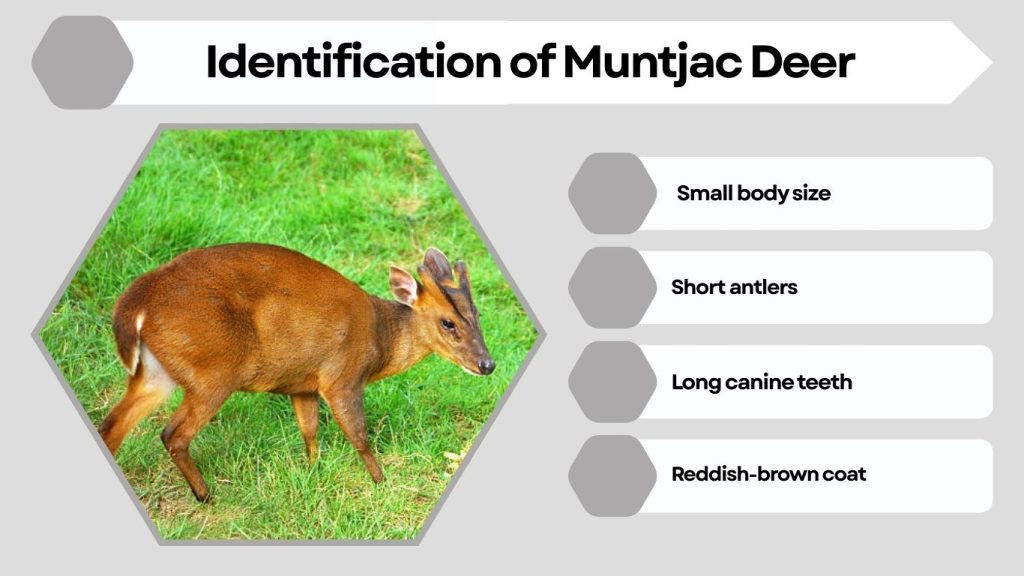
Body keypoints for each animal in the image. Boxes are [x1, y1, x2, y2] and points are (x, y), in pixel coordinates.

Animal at [97, 243, 494, 502]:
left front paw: (312, 471)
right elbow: (359, 436)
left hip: (155, 372)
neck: (381, 337)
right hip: (213, 371)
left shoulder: (303, 385)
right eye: (448, 323)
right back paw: (206, 495)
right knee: (173, 434)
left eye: (477, 314)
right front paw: (382, 484)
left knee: (111, 426)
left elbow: (309, 432)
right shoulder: (342, 377)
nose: (487, 364)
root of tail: (136, 303)